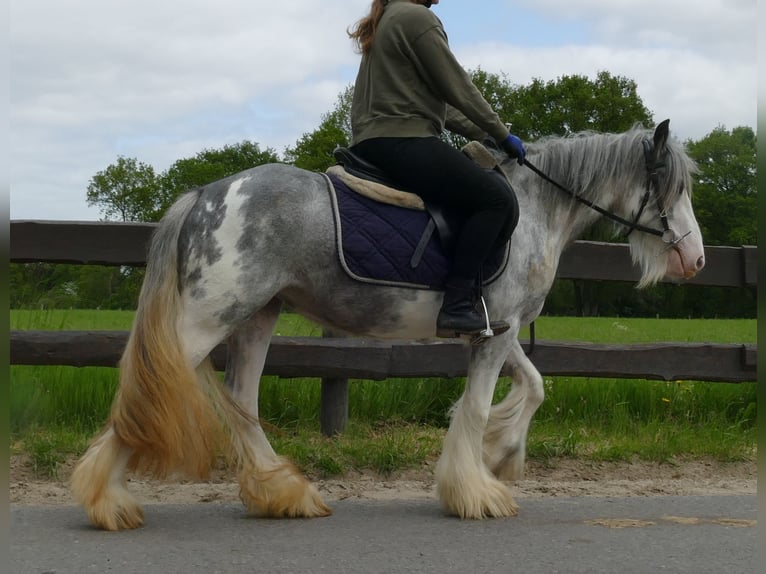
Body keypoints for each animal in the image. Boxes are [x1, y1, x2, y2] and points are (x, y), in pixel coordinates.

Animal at [72, 120, 708, 532]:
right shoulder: (496, 332)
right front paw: (476, 489)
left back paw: (283, 494)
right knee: (146, 393)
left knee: (242, 401)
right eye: (672, 187)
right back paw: (108, 502)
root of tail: (205, 193)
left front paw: (502, 454)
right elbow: (479, 406)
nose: (696, 259)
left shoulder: (497, 329)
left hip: (257, 316)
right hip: (210, 317)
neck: (534, 211)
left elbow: (533, 386)